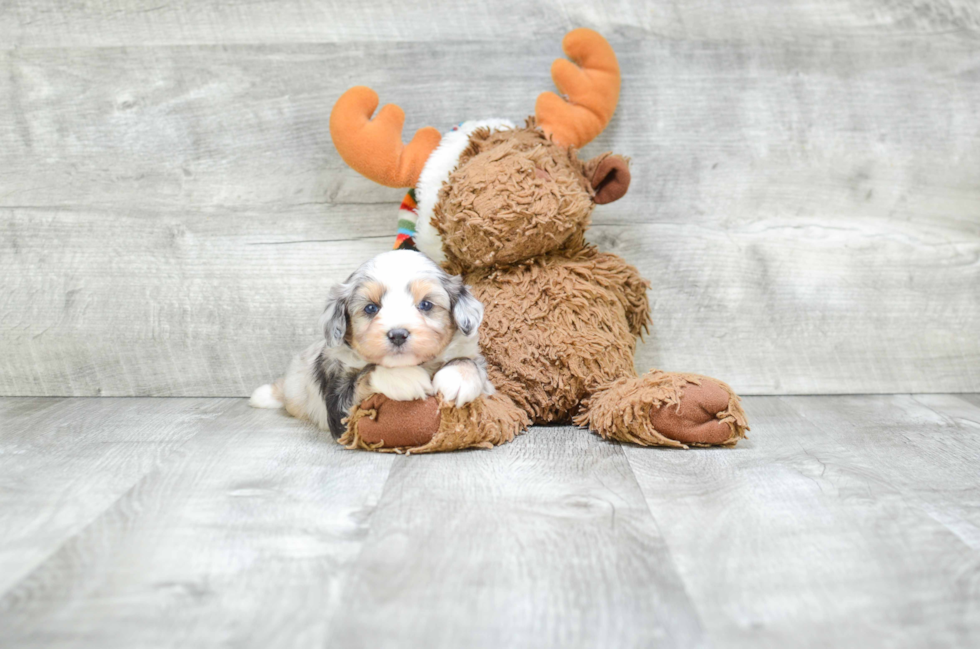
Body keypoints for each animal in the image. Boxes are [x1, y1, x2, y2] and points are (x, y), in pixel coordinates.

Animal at [249, 251, 494, 438]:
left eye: (426, 305)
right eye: (371, 308)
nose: (398, 334)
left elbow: (470, 363)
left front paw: (457, 378)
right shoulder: (338, 407)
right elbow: (367, 373)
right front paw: (404, 377)